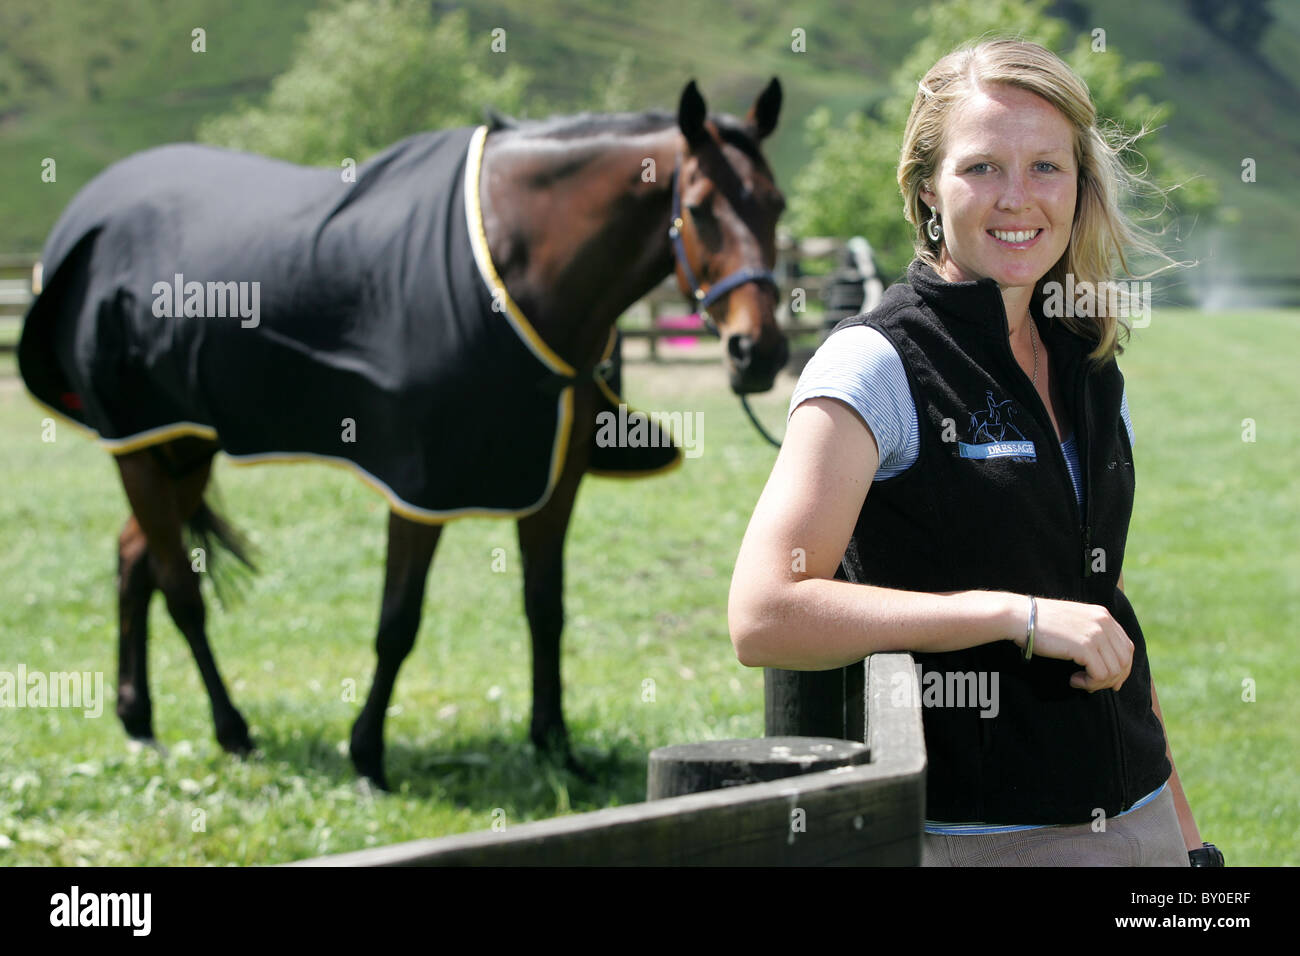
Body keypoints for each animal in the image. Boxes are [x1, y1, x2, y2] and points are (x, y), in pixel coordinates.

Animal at [20, 78, 785, 790]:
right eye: (699, 208)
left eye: (775, 205)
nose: (760, 352)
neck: (516, 267)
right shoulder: (419, 486)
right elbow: (398, 622)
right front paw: (368, 757)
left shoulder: (553, 481)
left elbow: (546, 611)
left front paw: (556, 748)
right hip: (142, 444)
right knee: (179, 590)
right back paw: (231, 730)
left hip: (183, 445)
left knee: (134, 561)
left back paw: (139, 720)